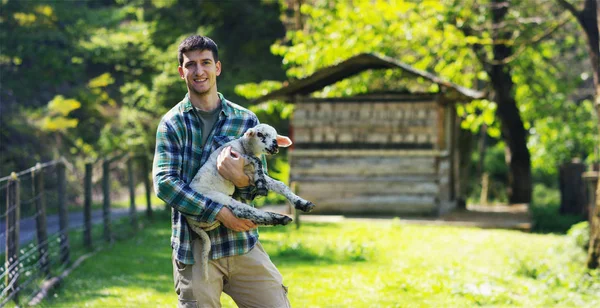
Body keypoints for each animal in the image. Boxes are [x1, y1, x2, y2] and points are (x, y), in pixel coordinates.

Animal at [185, 122, 316, 280]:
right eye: (260, 134)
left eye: (275, 136)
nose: (275, 145)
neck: (243, 146)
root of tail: (190, 221)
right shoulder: (239, 158)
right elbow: (257, 161)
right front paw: (261, 186)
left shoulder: (248, 174)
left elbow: (280, 185)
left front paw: (302, 203)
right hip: (218, 198)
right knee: (244, 211)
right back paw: (280, 218)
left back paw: (281, 218)